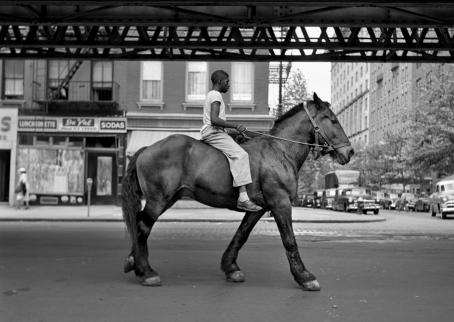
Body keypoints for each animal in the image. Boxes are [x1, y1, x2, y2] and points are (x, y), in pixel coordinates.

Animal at [122, 93, 352, 292]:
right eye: (332, 120)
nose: (349, 151)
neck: (280, 150)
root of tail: (147, 149)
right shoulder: (281, 203)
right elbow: (289, 240)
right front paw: (304, 276)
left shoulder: (259, 208)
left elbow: (241, 234)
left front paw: (230, 267)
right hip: (158, 200)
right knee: (142, 226)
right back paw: (146, 271)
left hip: (167, 199)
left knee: (139, 223)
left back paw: (134, 262)